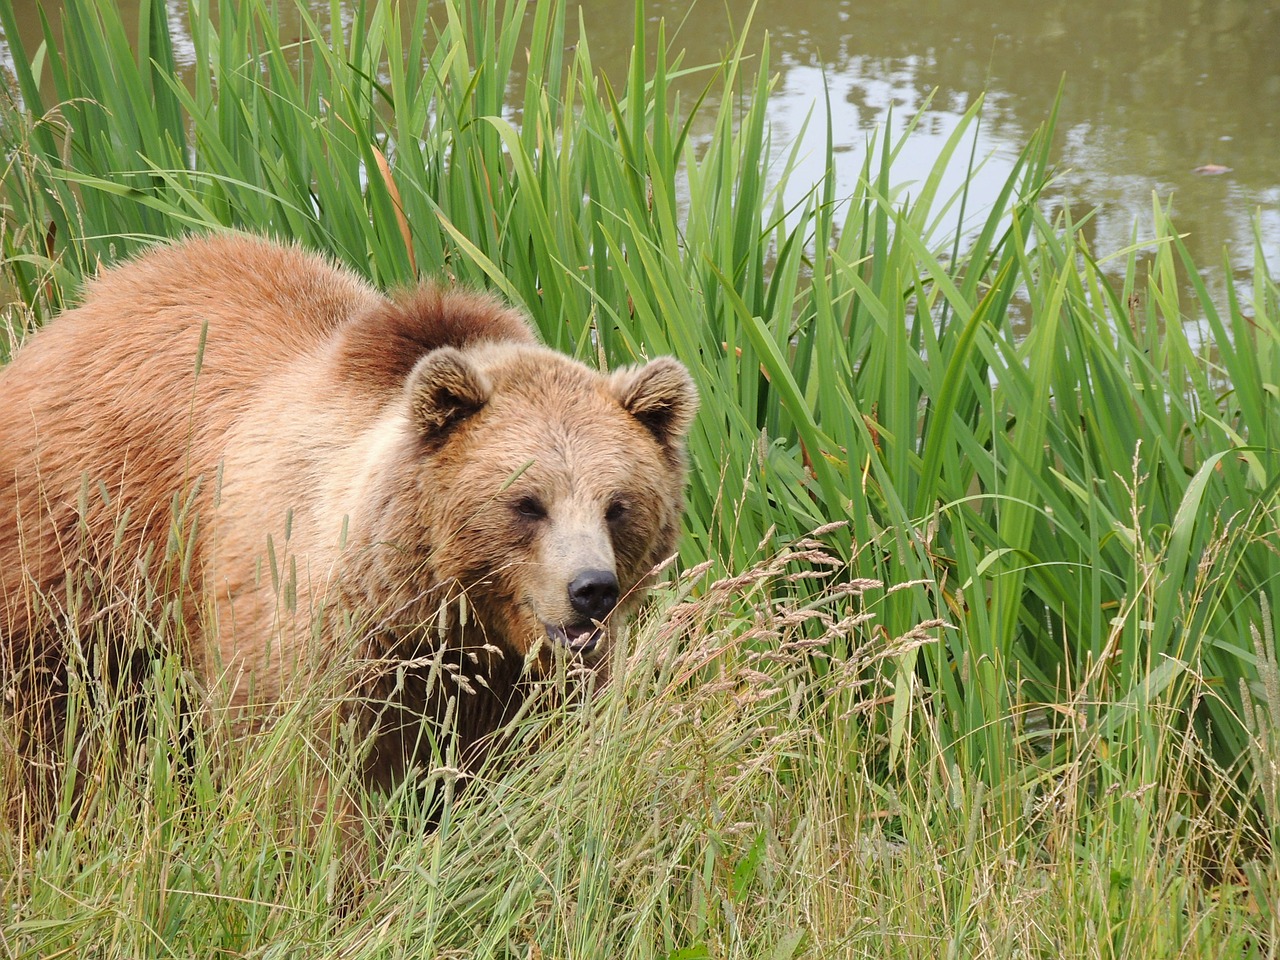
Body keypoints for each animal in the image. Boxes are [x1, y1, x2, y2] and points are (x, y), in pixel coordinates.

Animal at [0, 236, 701, 824]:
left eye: (618, 505)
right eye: (528, 503)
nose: (592, 588)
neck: (446, 619)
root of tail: (84, 307)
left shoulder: (516, 686)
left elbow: (529, 767)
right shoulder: (320, 645)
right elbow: (310, 777)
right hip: (81, 542)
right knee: (46, 716)